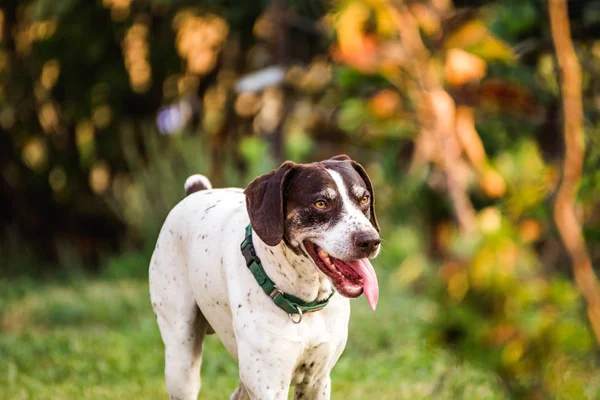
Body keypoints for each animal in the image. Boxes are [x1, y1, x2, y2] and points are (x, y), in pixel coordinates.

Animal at [149, 155, 380, 398]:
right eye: (320, 203)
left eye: (364, 198)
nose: (370, 240)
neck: (303, 303)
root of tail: (196, 192)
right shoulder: (269, 386)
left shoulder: (317, 381)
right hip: (182, 364)